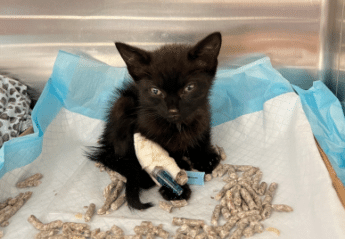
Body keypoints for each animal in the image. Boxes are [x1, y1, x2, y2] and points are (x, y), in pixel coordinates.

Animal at [85, 32, 220, 210]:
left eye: (189, 88)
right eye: (155, 91)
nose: (173, 110)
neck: (176, 126)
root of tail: (107, 141)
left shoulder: (202, 114)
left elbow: (203, 133)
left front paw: (206, 157)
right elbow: (168, 161)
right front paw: (176, 189)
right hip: (122, 106)